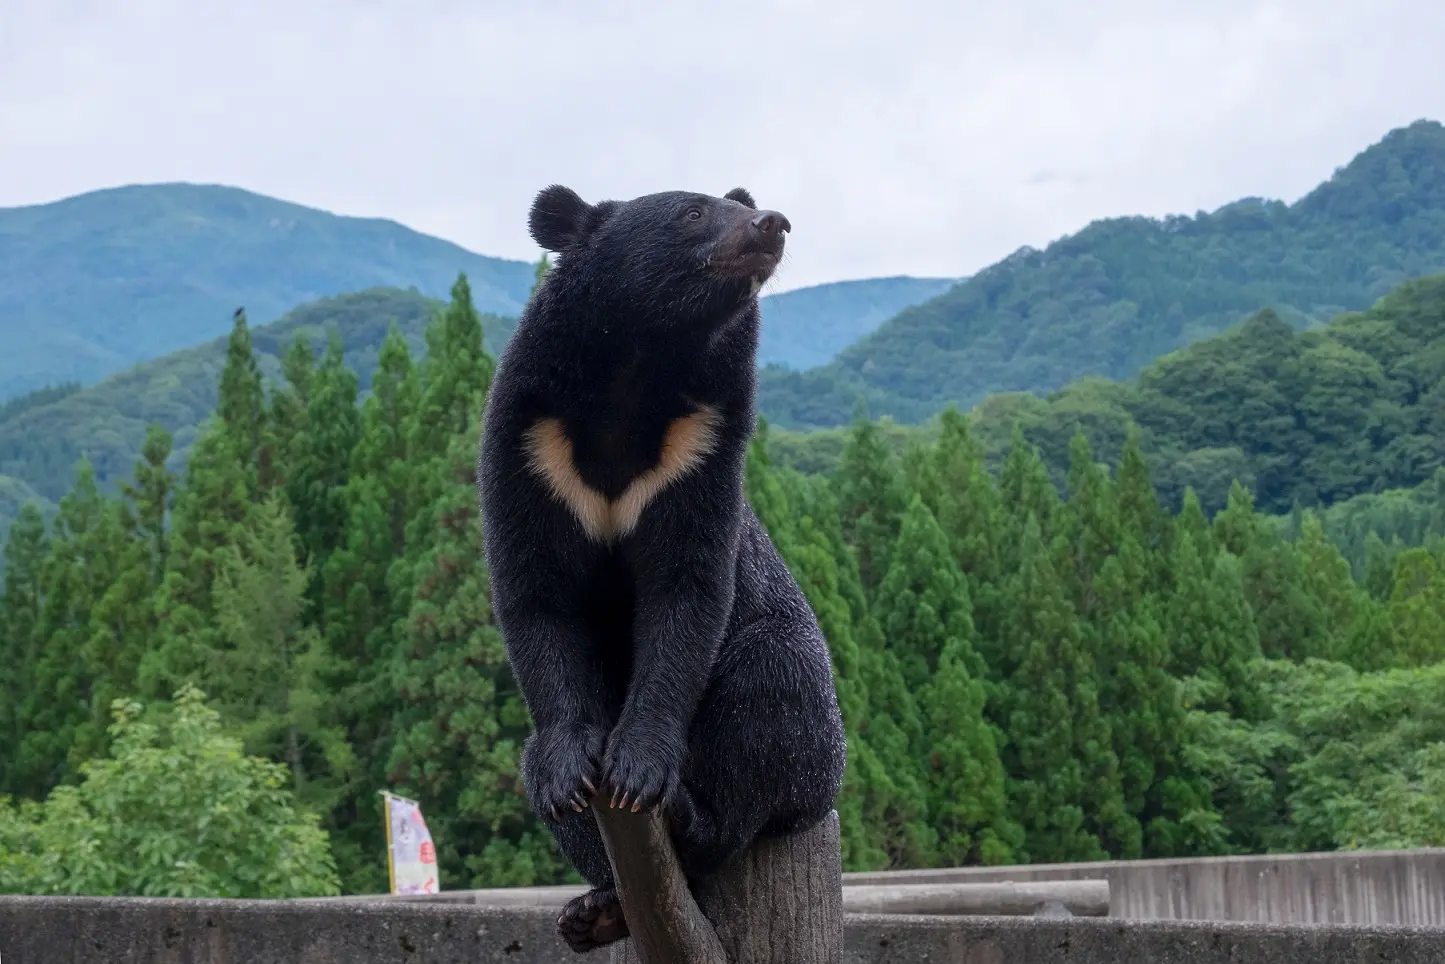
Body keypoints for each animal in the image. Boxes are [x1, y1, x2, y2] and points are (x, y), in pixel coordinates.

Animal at [479, 184, 849, 953]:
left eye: (737, 204)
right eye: (693, 213)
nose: (773, 223)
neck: (638, 364)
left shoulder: (702, 448)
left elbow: (687, 593)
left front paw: (636, 771)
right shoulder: (530, 446)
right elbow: (538, 595)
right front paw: (573, 775)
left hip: (809, 741)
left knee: (769, 694)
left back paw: (687, 816)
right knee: (531, 764)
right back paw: (595, 909)